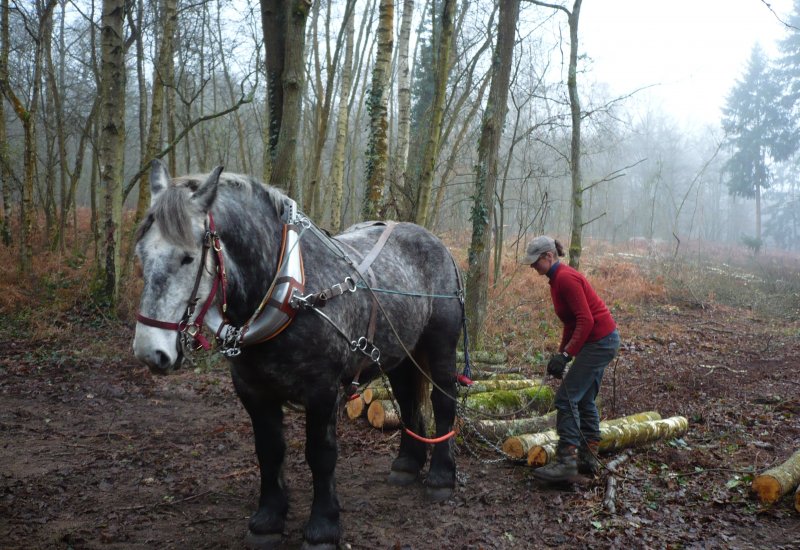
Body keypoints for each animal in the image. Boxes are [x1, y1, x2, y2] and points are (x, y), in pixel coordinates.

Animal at [132, 161, 462, 550]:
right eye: (141, 255)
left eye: (187, 258)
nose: (150, 351)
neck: (288, 289)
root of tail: (438, 243)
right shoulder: (253, 390)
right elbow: (269, 451)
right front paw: (268, 520)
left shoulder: (322, 391)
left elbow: (320, 455)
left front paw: (323, 527)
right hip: (398, 352)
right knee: (409, 399)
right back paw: (407, 465)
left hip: (440, 346)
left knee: (443, 401)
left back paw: (441, 476)